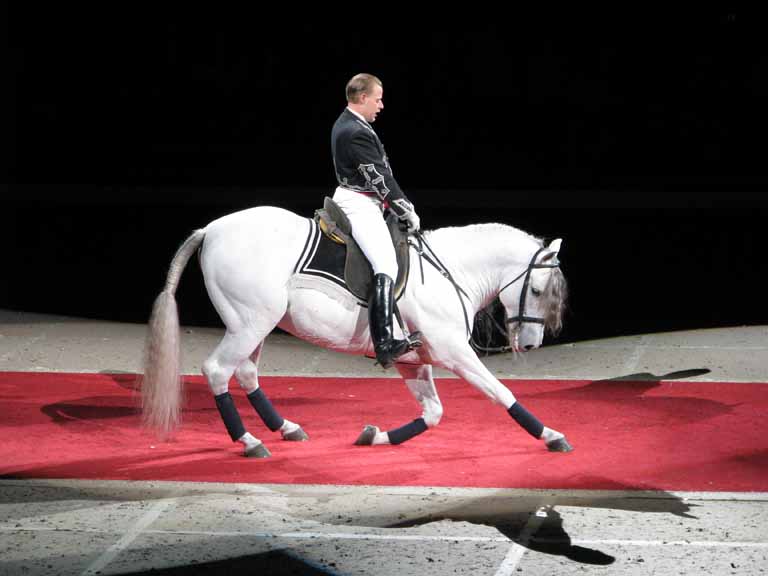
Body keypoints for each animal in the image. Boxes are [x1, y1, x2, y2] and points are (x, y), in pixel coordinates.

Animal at [141, 205, 568, 456]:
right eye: (536, 290)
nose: (532, 344)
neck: (452, 271)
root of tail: (212, 228)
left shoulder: (414, 359)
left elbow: (433, 413)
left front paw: (374, 436)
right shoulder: (453, 352)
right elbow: (501, 392)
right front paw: (550, 435)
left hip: (256, 323)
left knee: (245, 373)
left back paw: (286, 428)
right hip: (249, 323)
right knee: (218, 370)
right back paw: (250, 441)